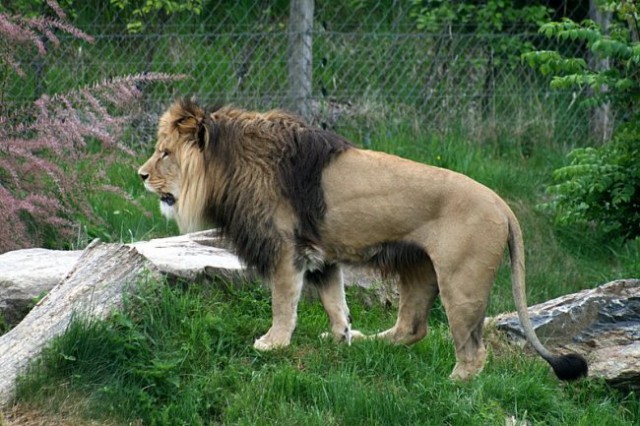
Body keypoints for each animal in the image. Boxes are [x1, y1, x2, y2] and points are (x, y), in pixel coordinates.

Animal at [141, 98, 592, 382]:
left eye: (164, 153)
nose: (140, 175)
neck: (228, 165)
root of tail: (503, 204)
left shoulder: (286, 250)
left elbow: (283, 303)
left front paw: (273, 344)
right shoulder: (320, 256)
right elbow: (334, 302)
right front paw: (340, 337)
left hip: (460, 283)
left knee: (472, 349)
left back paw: (452, 384)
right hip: (418, 269)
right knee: (413, 328)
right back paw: (366, 343)